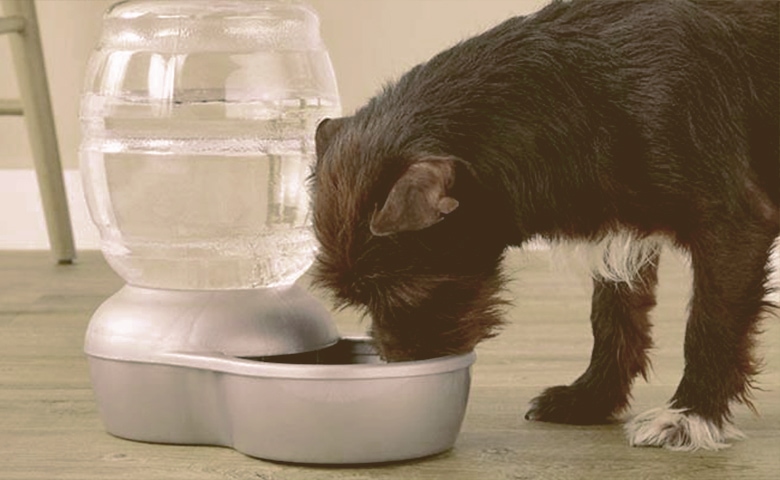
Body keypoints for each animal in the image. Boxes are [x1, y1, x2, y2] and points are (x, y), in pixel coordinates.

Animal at [308, 0, 776, 452]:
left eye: (405, 295)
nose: (399, 365)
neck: (581, 91)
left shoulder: (732, 227)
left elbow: (709, 325)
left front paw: (691, 416)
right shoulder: (620, 225)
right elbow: (612, 316)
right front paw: (592, 398)